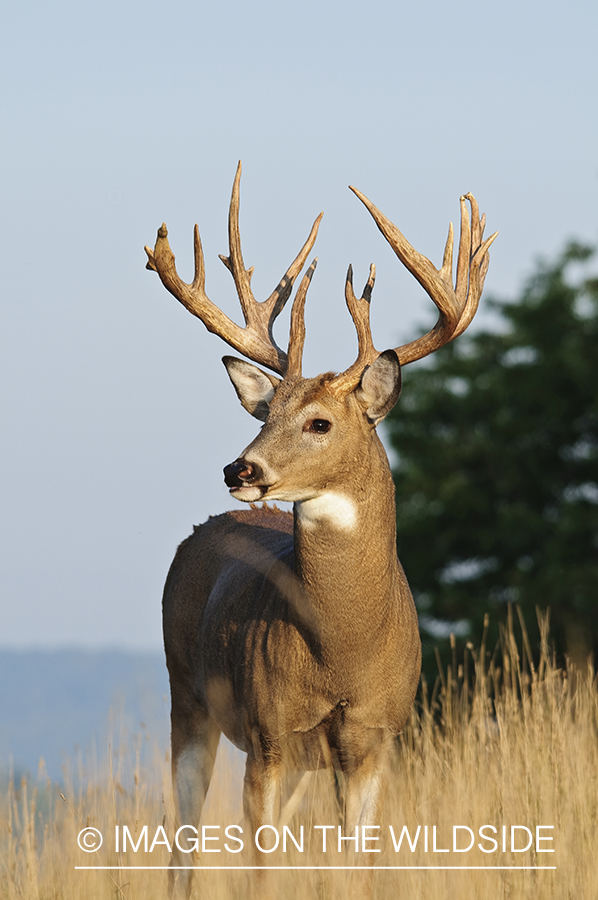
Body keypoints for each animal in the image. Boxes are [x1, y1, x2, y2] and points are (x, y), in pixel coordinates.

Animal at [144, 165, 496, 896]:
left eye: (320, 423)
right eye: (264, 412)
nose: (240, 467)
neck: (342, 647)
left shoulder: (373, 736)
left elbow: (354, 868)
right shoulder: (268, 731)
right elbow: (260, 870)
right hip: (187, 691)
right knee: (182, 837)